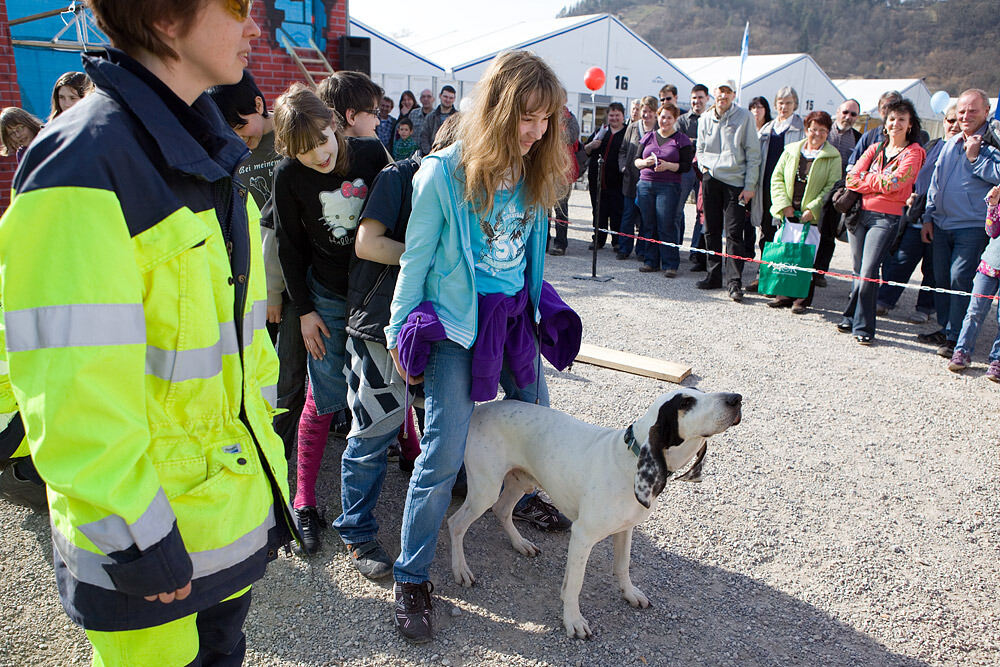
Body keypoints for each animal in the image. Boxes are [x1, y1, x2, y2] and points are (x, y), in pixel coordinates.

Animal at [450, 388, 740, 640]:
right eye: (686, 403)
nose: (736, 399)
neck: (631, 459)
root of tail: (479, 410)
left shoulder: (625, 530)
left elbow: (621, 566)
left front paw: (629, 593)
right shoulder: (582, 536)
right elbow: (576, 584)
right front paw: (573, 620)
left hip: (521, 482)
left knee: (501, 510)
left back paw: (521, 543)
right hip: (485, 490)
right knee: (456, 523)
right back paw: (461, 570)